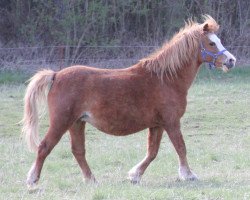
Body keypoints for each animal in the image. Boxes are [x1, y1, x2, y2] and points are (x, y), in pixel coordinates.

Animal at [22, 15, 236, 188]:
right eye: (211, 43)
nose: (231, 60)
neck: (166, 79)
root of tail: (56, 75)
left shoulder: (157, 124)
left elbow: (152, 152)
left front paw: (135, 176)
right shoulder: (171, 122)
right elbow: (180, 147)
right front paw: (188, 175)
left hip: (77, 123)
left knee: (78, 151)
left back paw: (91, 180)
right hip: (62, 122)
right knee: (44, 147)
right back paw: (32, 180)